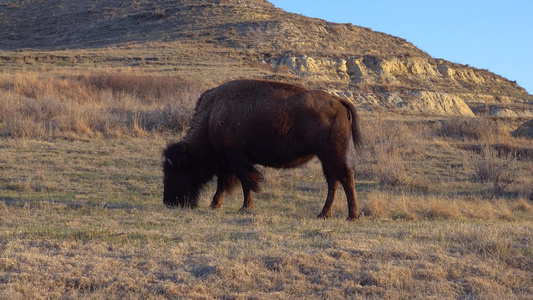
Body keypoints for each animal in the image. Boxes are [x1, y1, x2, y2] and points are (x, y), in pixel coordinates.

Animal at [162, 79, 362, 220]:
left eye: (176, 171)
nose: (168, 201)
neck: (212, 116)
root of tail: (339, 101)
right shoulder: (229, 161)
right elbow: (225, 182)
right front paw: (216, 204)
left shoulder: (237, 160)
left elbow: (245, 182)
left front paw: (244, 207)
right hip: (325, 158)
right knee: (333, 181)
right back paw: (324, 214)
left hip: (332, 155)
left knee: (346, 176)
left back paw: (351, 216)